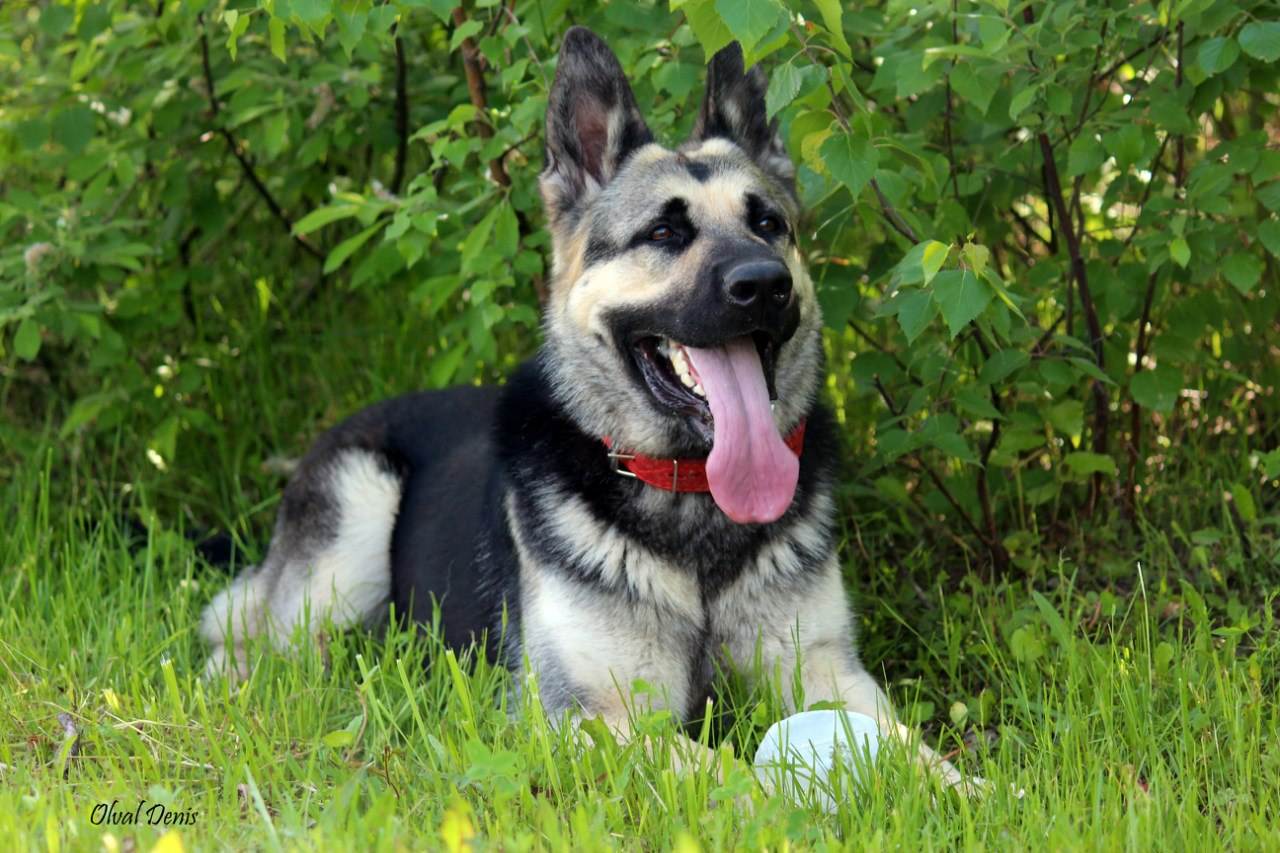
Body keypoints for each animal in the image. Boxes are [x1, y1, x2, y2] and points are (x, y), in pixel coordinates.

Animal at [199, 23, 962, 788]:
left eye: (770, 223)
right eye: (664, 233)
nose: (765, 284)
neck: (692, 500)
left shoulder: (831, 673)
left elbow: (921, 755)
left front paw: (968, 789)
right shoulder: (587, 717)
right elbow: (727, 774)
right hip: (352, 526)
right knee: (251, 642)